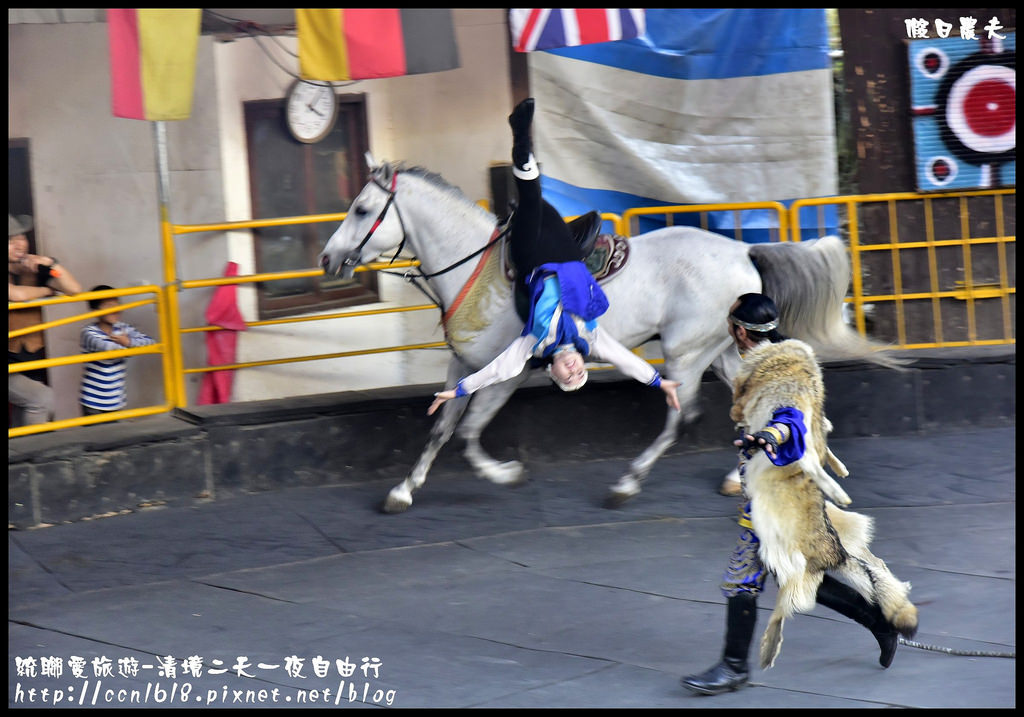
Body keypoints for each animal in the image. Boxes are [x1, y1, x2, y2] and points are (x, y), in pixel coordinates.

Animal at [317, 159, 897, 512]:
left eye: (362, 210)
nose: (328, 259)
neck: (473, 269)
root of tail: (743, 251)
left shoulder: (504, 374)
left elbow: (468, 433)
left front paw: (507, 475)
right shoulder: (462, 366)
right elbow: (441, 430)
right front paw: (403, 490)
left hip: (685, 353)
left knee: (681, 414)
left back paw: (627, 482)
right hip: (719, 350)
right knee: (742, 401)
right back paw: (737, 477)